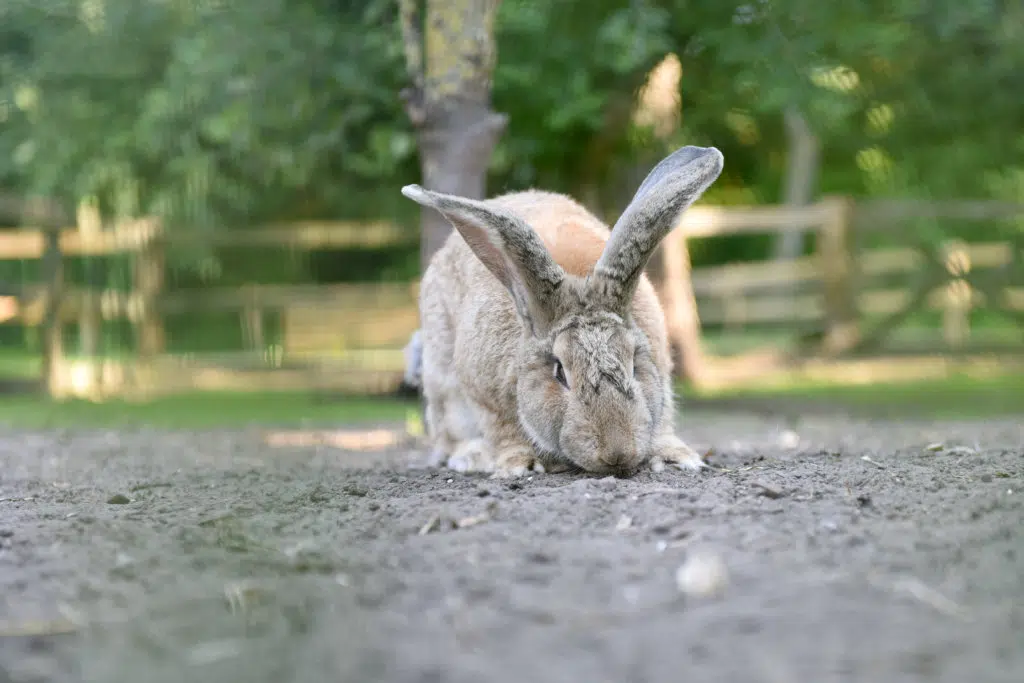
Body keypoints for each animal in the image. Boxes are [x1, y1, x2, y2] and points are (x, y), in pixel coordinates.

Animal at [403, 145, 724, 475]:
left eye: (634, 364)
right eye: (559, 372)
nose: (617, 454)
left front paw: (676, 457)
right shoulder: (485, 396)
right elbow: (503, 432)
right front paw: (520, 464)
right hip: (442, 383)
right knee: (447, 435)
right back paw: (472, 455)